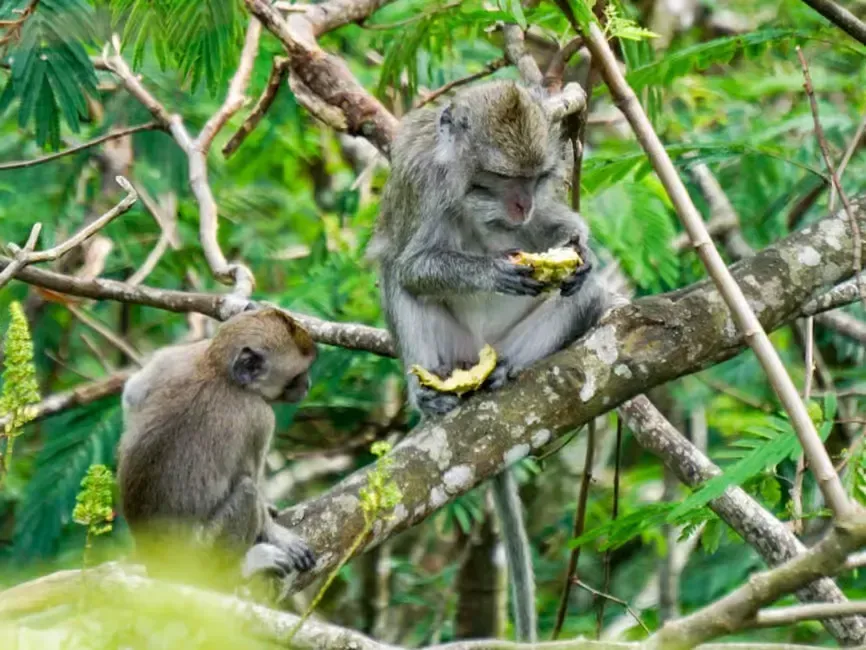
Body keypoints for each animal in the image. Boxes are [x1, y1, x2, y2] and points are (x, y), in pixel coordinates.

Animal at [116, 307, 317, 589]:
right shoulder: (259, 417)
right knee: (247, 491)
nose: (308, 384)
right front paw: (277, 534)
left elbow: (131, 395)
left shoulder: (175, 356)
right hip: (201, 554)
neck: (218, 370)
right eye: (296, 376)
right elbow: (253, 478)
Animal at [367, 81, 614, 641]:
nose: (521, 204)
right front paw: (490, 271)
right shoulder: (423, 182)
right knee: (397, 272)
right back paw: (430, 396)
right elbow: (412, 265)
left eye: (534, 178)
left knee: (593, 295)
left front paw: (582, 251)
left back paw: (506, 368)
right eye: (502, 178)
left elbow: (559, 228)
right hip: (450, 345)